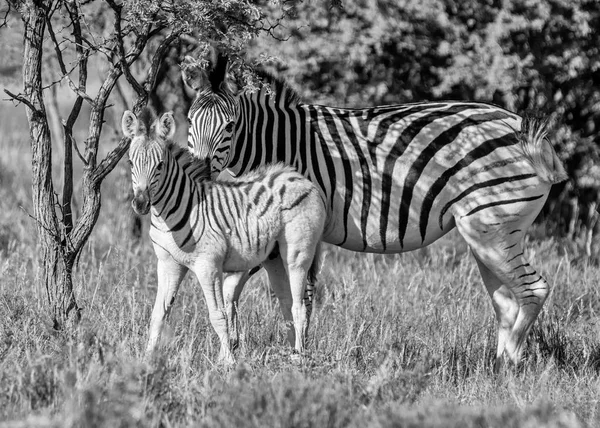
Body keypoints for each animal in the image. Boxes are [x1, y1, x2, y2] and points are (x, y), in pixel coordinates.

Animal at [122, 107, 326, 362]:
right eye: (131, 163)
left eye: (159, 165)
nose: (140, 204)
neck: (169, 213)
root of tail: (298, 176)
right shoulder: (168, 264)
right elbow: (158, 314)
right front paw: (147, 359)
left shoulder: (208, 265)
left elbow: (218, 315)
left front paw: (228, 362)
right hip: (274, 257)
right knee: (287, 304)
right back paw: (289, 353)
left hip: (298, 254)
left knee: (299, 307)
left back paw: (298, 358)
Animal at [182, 52, 568, 372]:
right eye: (189, 121)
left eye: (230, 126)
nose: (199, 172)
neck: (279, 144)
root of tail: (523, 129)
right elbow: (246, 290)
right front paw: (233, 352)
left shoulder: (293, 232)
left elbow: (292, 295)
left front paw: (294, 357)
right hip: (486, 232)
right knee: (506, 300)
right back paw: (498, 367)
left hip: (493, 225)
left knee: (533, 289)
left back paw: (512, 361)